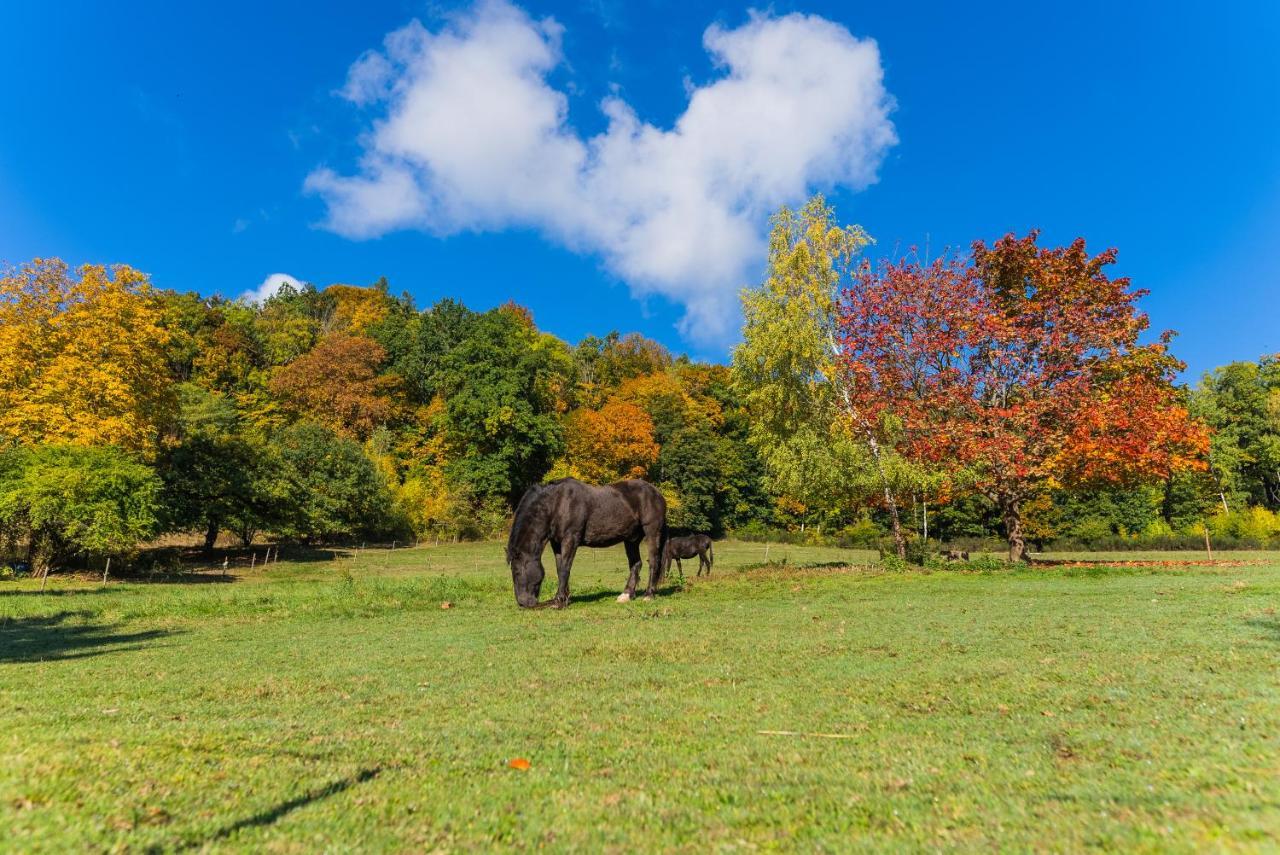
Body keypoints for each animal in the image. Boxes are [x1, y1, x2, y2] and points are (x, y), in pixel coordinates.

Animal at [501, 481, 670, 606]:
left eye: (516, 571)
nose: (523, 602)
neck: (557, 504)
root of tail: (657, 493)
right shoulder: (557, 544)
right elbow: (560, 569)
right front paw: (565, 598)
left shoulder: (571, 539)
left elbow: (565, 569)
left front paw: (559, 600)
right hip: (631, 539)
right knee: (636, 564)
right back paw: (626, 595)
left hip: (652, 532)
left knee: (653, 562)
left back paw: (649, 595)